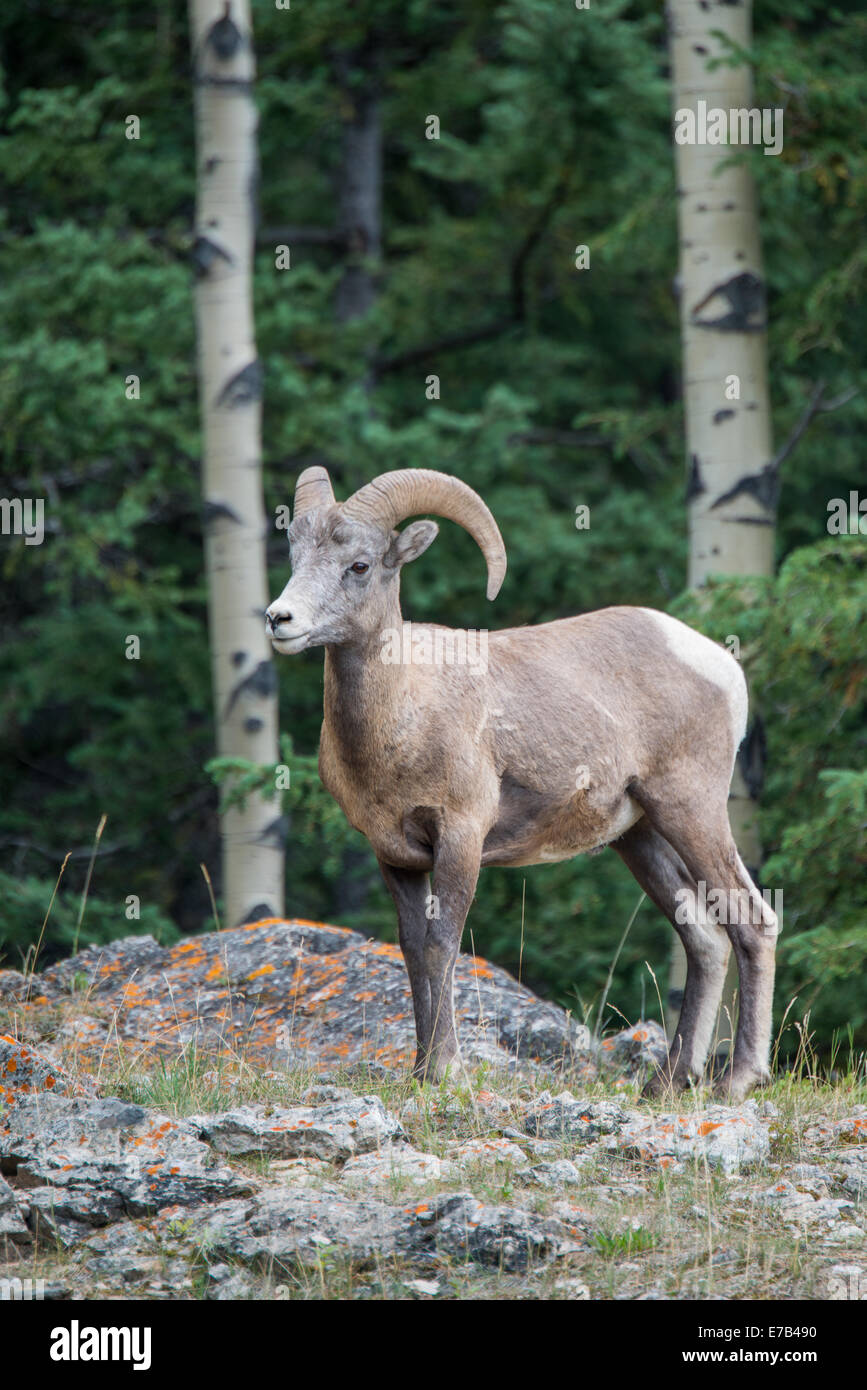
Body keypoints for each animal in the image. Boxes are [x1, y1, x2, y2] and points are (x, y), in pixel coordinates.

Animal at [267, 466, 778, 1100]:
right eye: (295, 553)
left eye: (358, 565)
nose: (280, 620)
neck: (403, 711)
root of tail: (717, 663)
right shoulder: (395, 856)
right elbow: (412, 948)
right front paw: (420, 1071)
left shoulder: (461, 836)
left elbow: (442, 944)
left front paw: (445, 1070)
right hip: (640, 837)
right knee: (704, 938)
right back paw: (666, 1083)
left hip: (692, 810)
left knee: (753, 922)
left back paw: (737, 1081)